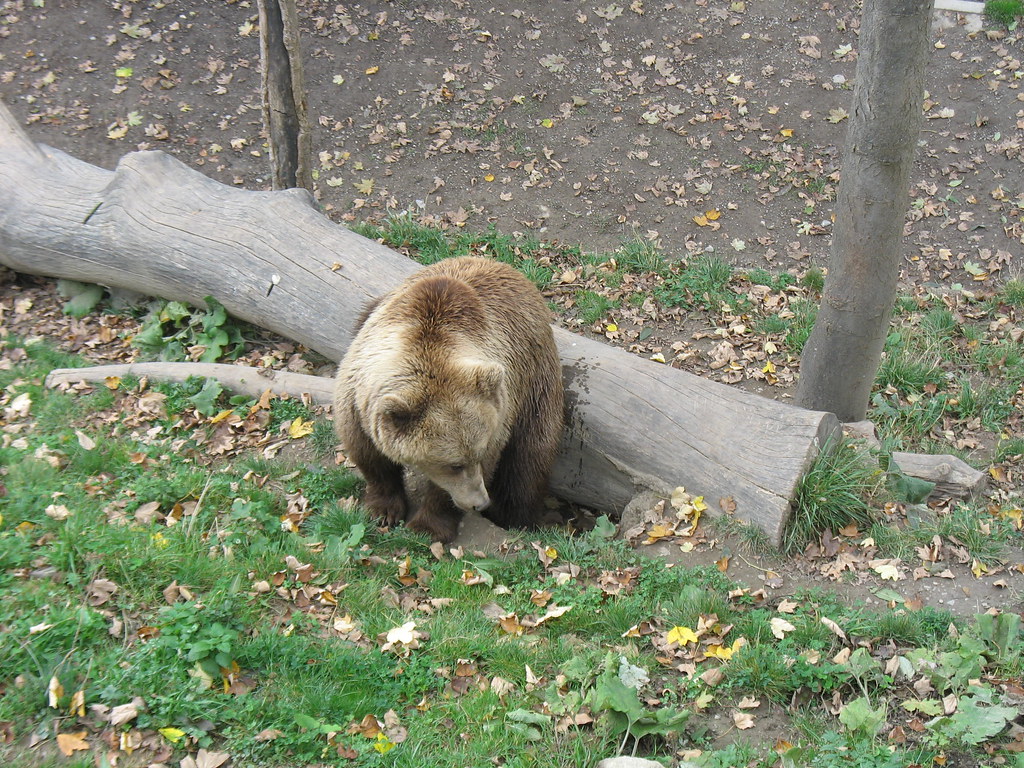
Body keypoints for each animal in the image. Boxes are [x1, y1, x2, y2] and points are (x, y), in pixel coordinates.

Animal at [333, 256, 564, 543]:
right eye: (454, 464)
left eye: (480, 453)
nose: (480, 502)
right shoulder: (357, 401)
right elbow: (369, 456)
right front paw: (383, 510)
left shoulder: (500, 411)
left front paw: (428, 526)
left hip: (536, 379)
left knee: (529, 457)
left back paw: (516, 516)